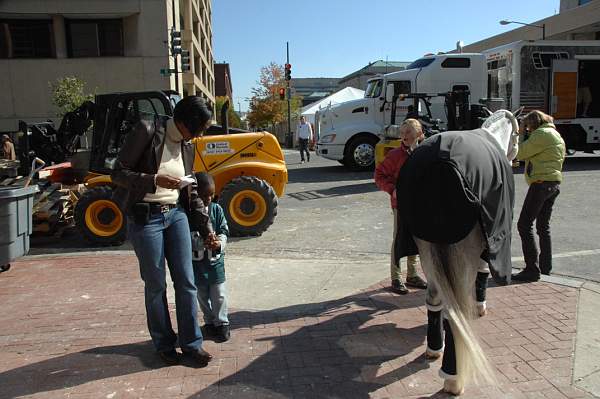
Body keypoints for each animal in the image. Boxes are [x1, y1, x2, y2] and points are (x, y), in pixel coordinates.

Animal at [396, 110, 516, 396]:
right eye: (519, 133)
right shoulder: (487, 243)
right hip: (462, 252)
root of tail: (441, 164)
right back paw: (453, 377)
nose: (515, 157)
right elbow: (483, 273)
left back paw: (434, 348)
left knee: (435, 298)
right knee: (456, 312)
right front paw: (480, 306)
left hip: (427, 247)